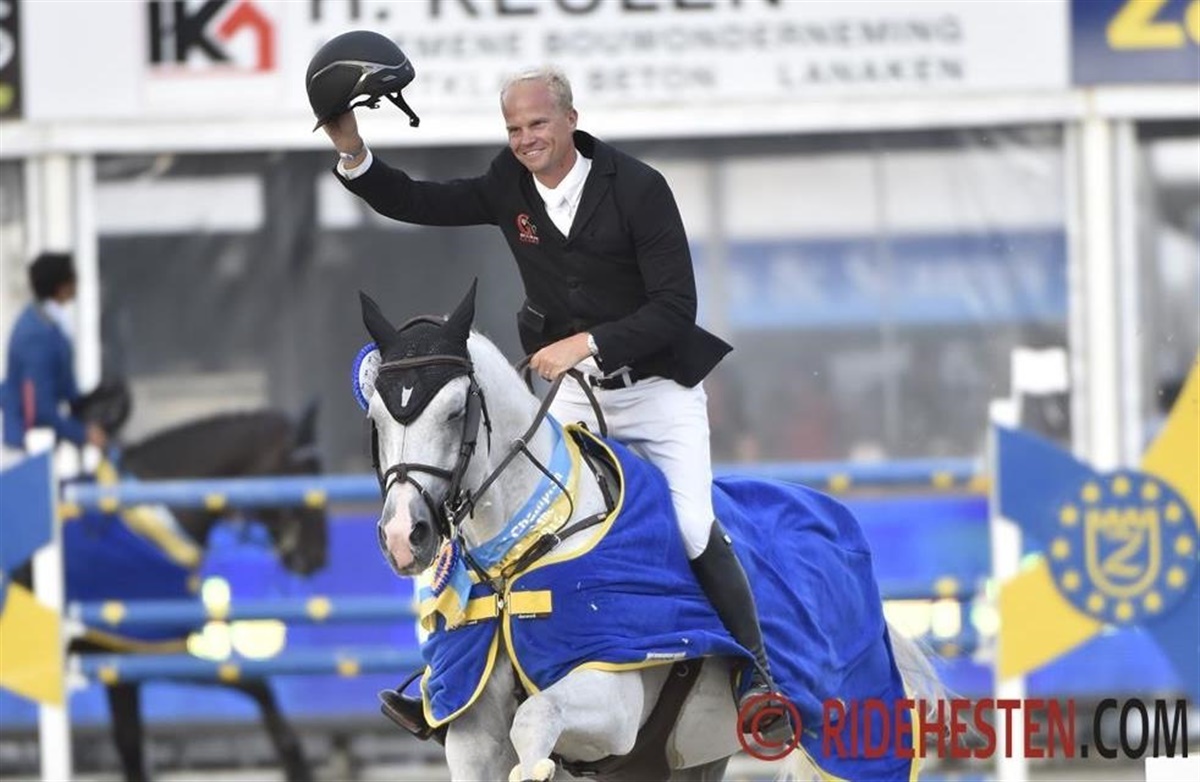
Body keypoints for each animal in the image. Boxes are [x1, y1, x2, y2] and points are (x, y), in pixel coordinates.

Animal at [69, 385, 328, 782]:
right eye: (304, 473)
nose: (315, 555)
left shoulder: (124, 660)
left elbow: (129, 744)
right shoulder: (153, 647)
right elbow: (255, 684)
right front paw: (295, 762)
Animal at [357, 282, 941, 781]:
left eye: (456, 411)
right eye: (378, 418)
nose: (403, 536)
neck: (519, 555)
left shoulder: (612, 704)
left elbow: (535, 718)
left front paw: (535, 768)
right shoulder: (472, 731)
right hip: (688, 758)